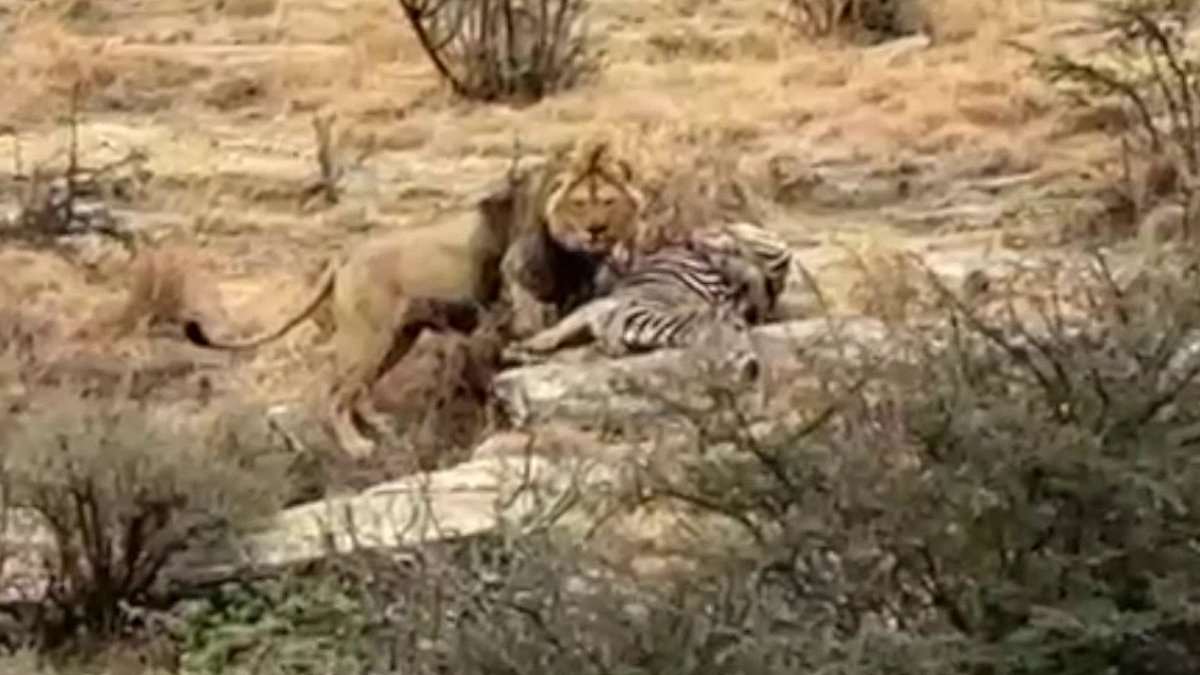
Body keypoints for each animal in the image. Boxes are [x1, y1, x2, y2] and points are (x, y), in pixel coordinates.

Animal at [178, 134, 648, 456]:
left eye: (607, 201)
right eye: (579, 204)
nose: (596, 231)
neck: (571, 253)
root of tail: (344, 256)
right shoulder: (520, 299)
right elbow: (532, 338)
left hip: (398, 338)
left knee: (359, 390)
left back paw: (381, 426)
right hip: (368, 337)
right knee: (336, 393)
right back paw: (357, 447)